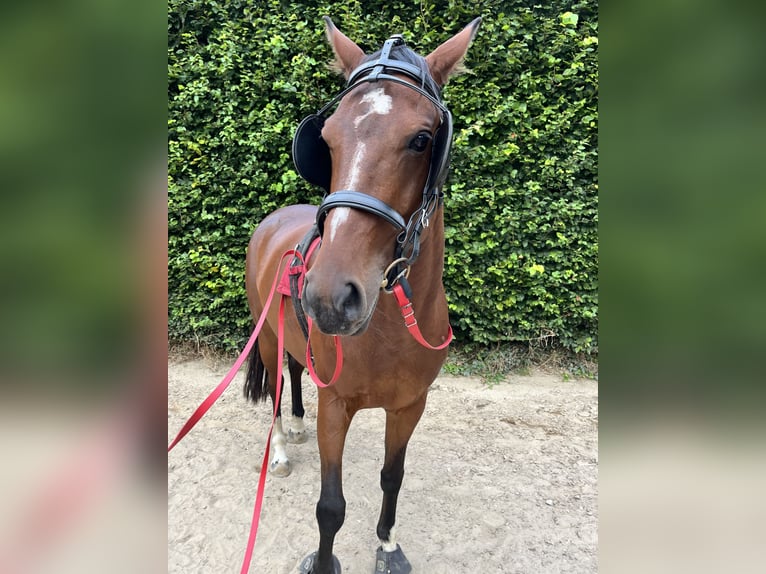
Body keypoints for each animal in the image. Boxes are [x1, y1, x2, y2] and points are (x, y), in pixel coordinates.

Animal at [243, 16, 481, 574]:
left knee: (295, 370)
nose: (330, 296)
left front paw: (388, 544)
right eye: (326, 141)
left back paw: (298, 425)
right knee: (276, 388)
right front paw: (324, 561)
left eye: (422, 140)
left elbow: (392, 478)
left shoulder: (410, 406)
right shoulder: (337, 406)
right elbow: (330, 506)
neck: (389, 325)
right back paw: (281, 448)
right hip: (267, 336)